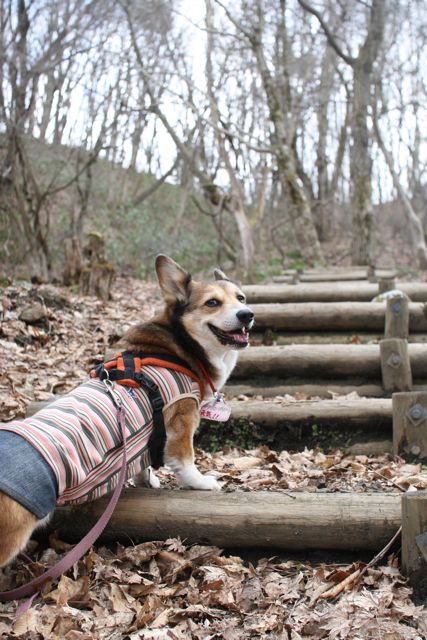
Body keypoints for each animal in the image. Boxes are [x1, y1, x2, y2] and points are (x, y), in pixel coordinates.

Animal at [0, 255, 254, 564]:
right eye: (212, 303)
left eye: (241, 298)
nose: (247, 314)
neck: (180, 346)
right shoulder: (183, 417)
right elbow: (185, 461)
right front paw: (203, 483)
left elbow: (143, 464)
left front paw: (148, 481)